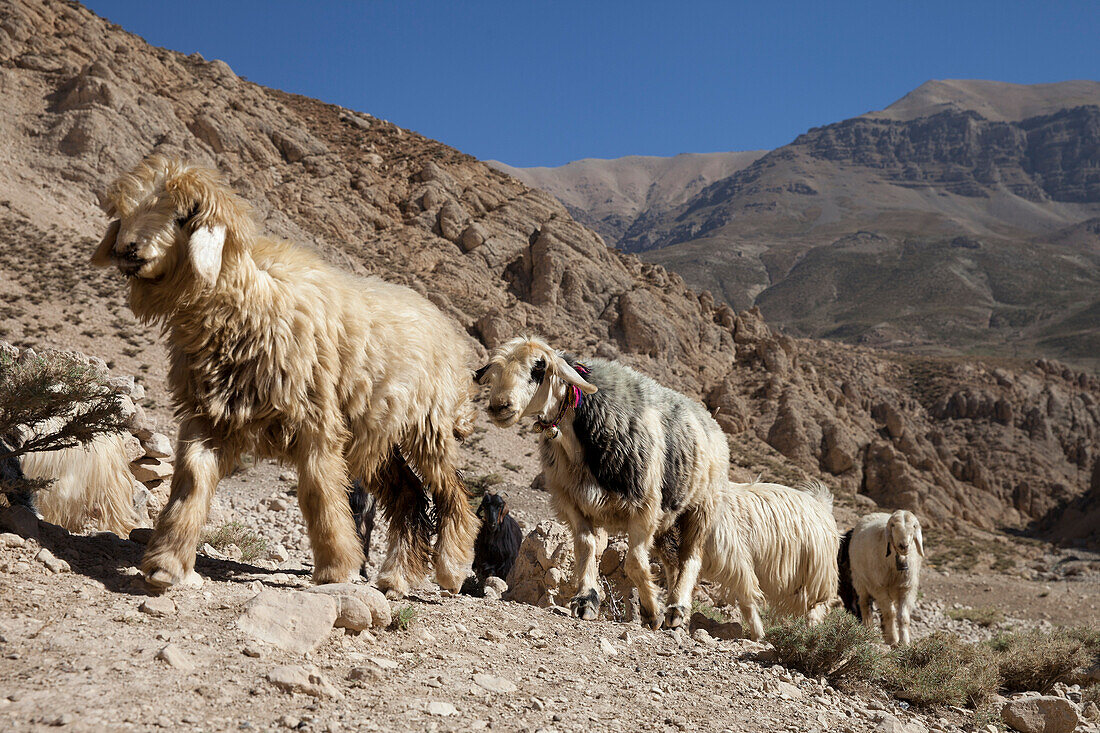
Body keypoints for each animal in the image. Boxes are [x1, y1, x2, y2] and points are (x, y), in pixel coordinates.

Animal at [90, 155, 477, 594]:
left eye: (182, 216)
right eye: (129, 210)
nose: (126, 249)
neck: (250, 300)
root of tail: (453, 336)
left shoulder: (316, 417)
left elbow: (319, 494)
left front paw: (337, 570)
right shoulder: (209, 414)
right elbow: (191, 483)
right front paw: (167, 565)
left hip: (429, 424)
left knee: (452, 493)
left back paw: (451, 566)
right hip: (378, 434)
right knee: (409, 495)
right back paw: (396, 576)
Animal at [477, 334, 734, 625]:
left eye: (539, 368)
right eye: (495, 369)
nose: (499, 407)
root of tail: (711, 420)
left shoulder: (645, 506)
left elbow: (634, 562)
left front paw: (652, 611)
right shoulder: (574, 503)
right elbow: (586, 548)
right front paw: (587, 600)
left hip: (702, 507)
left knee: (691, 557)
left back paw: (677, 608)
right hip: (669, 520)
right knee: (672, 561)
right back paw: (671, 605)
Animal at [844, 508, 924, 647]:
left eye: (914, 526)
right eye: (893, 526)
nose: (903, 545)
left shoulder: (907, 588)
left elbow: (903, 616)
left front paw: (904, 642)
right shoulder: (878, 587)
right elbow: (890, 613)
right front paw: (893, 639)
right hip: (860, 580)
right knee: (864, 604)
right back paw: (868, 628)